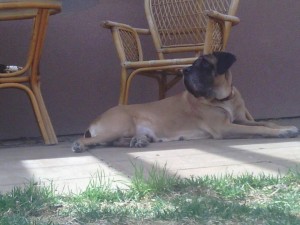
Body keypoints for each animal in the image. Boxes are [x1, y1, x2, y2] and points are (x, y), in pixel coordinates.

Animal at [72, 51, 298, 152]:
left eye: (204, 64)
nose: (185, 70)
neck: (223, 97)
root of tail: (94, 120)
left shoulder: (241, 120)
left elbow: (265, 122)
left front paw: (285, 126)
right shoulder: (225, 127)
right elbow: (259, 129)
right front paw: (282, 132)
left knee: (111, 142)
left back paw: (138, 141)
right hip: (120, 125)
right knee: (93, 140)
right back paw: (80, 146)